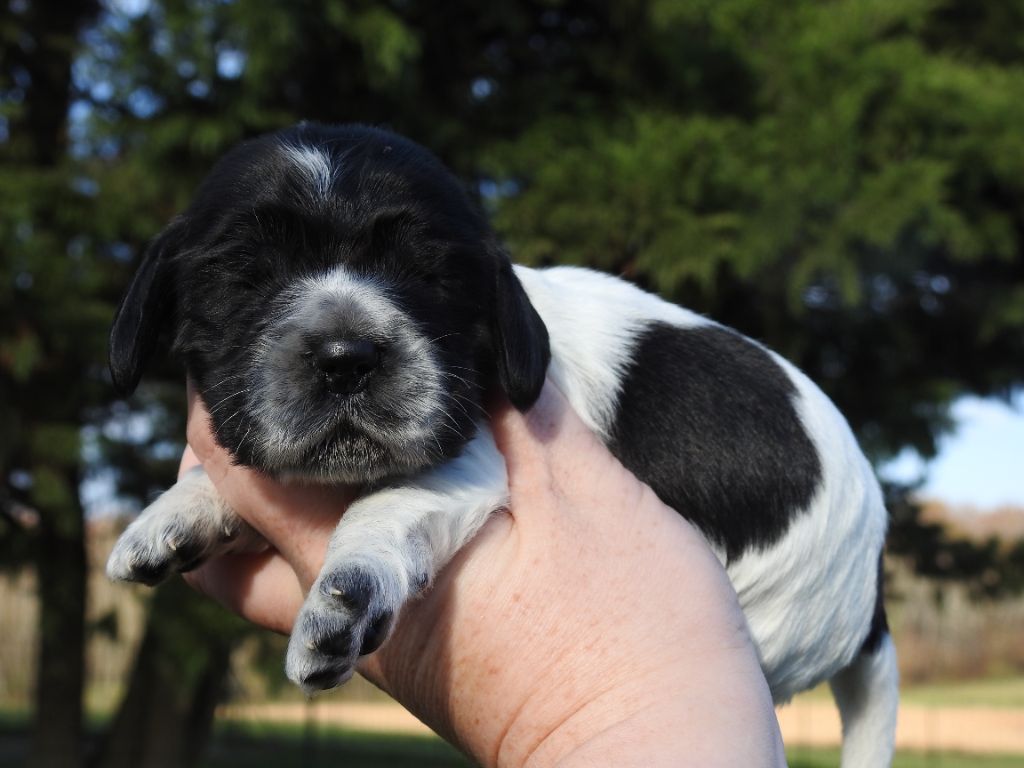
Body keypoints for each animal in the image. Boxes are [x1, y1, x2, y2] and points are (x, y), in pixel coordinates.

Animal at [105, 123, 897, 765]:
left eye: (430, 273)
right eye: (244, 275)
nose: (346, 357)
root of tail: (871, 609)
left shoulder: (466, 454)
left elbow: (381, 509)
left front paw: (347, 596)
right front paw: (176, 513)